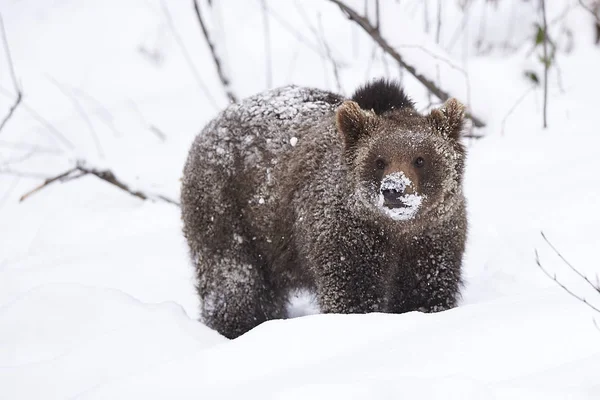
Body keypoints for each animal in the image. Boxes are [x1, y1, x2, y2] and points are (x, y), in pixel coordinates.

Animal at [180, 79, 466, 340]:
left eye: (420, 159)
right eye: (379, 160)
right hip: (228, 209)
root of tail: (210, 125)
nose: (393, 189)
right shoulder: (346, 238)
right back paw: (236, 327)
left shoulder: (433, 241)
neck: (397, 230)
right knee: (235, 280)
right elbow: (352, 296)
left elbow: (425, 294)